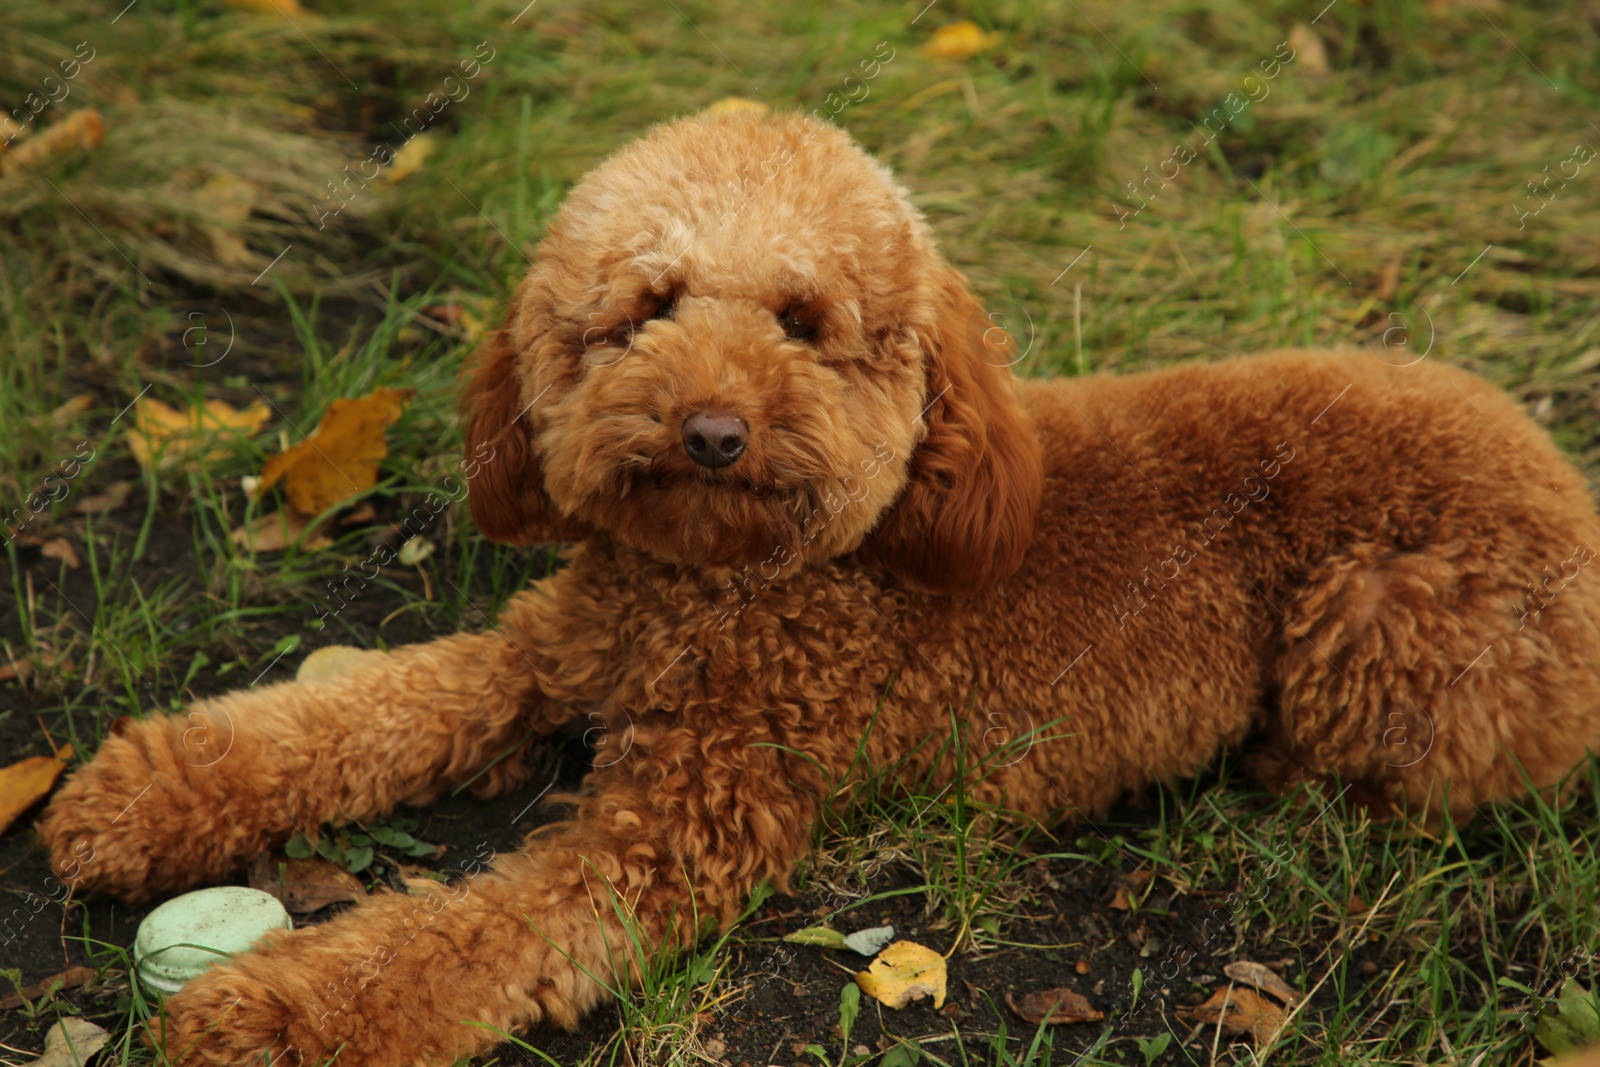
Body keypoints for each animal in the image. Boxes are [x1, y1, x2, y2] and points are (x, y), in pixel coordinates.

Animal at [31, 110, 1600, 1067]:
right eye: (646, 307)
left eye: (805, 322)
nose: (711, 429)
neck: (716, 592)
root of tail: (1558, 470)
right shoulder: (540, 654)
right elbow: (353, 713)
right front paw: (142, 797)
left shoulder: (685, 822)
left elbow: (461, 936)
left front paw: (271, 1008)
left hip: (1386, 613)